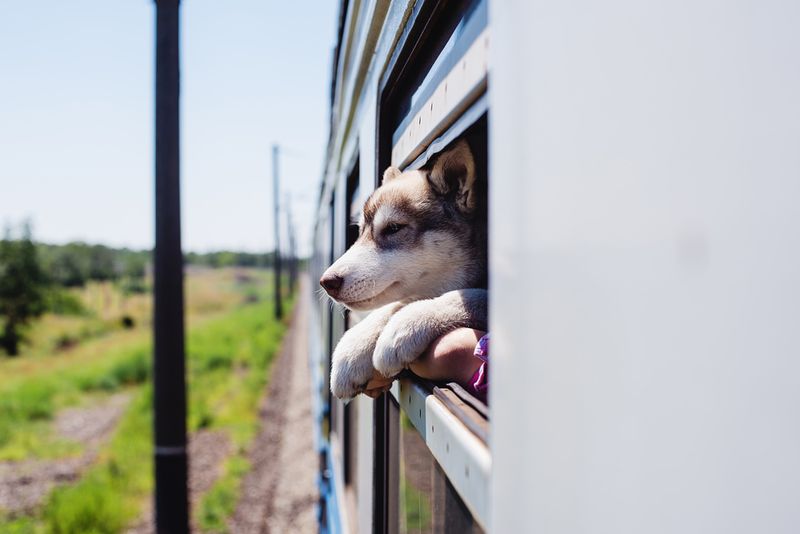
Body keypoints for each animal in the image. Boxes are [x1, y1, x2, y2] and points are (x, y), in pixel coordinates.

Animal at [318, 140, 488, 400]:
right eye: (360, 232)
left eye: (393, 228)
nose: (327, 282)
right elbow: (394, 304)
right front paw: (356, 344)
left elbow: (465, 296)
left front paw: (407, 324)